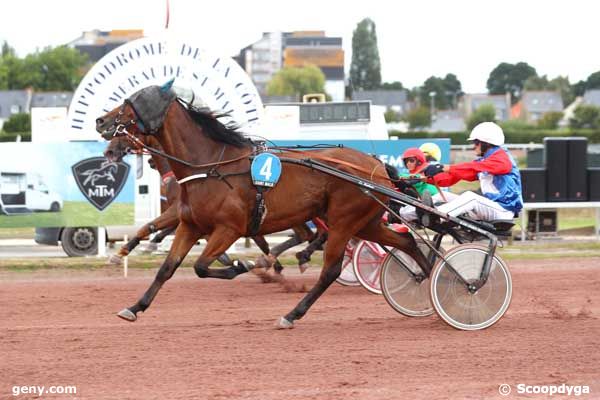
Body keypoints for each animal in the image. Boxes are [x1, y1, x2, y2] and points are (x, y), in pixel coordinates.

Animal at [96, 82, 428, 328]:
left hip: (344, 221)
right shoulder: (190, 225)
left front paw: (244, 265)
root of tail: (377, 166)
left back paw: (292, 313)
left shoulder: (228, 228)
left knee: (331, 269)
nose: (101, 121)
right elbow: (167, 268)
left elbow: (202, 266)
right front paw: (135, 306)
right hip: (365, 222)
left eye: (128, 103)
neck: (210, 164)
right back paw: (427, 278)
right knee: (407, 241)